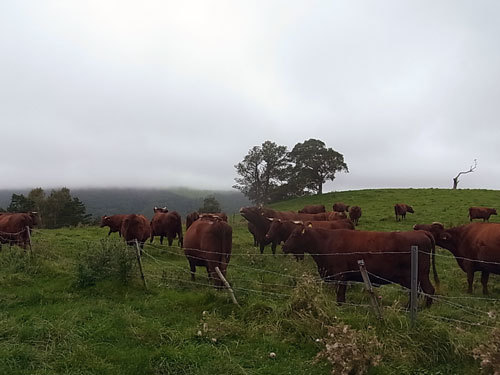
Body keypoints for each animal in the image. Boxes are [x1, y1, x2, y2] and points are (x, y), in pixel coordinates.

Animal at [284, 226, 440, 306]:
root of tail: (422, 232)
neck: (326, 242)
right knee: (420, 291)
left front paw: (340, 306)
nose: (284, 247)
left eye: (294, 235)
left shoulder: (340, 274)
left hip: (419, 274)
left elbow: (340, 292)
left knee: (426, 290)